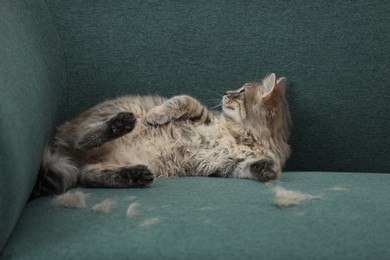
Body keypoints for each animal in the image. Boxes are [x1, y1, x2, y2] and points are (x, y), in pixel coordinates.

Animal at [30, 73, 290, 199]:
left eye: (240, 91)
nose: (226, 92)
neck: (245, 135)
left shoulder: (224, 163)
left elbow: (247, 167)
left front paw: (266, 169)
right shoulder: (202, 116)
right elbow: (184, 100)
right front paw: (156, 115)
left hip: (97, 163)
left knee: (86, 175)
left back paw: (136, 174)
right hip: (123, 108)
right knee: (82, 140)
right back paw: (121, 125)